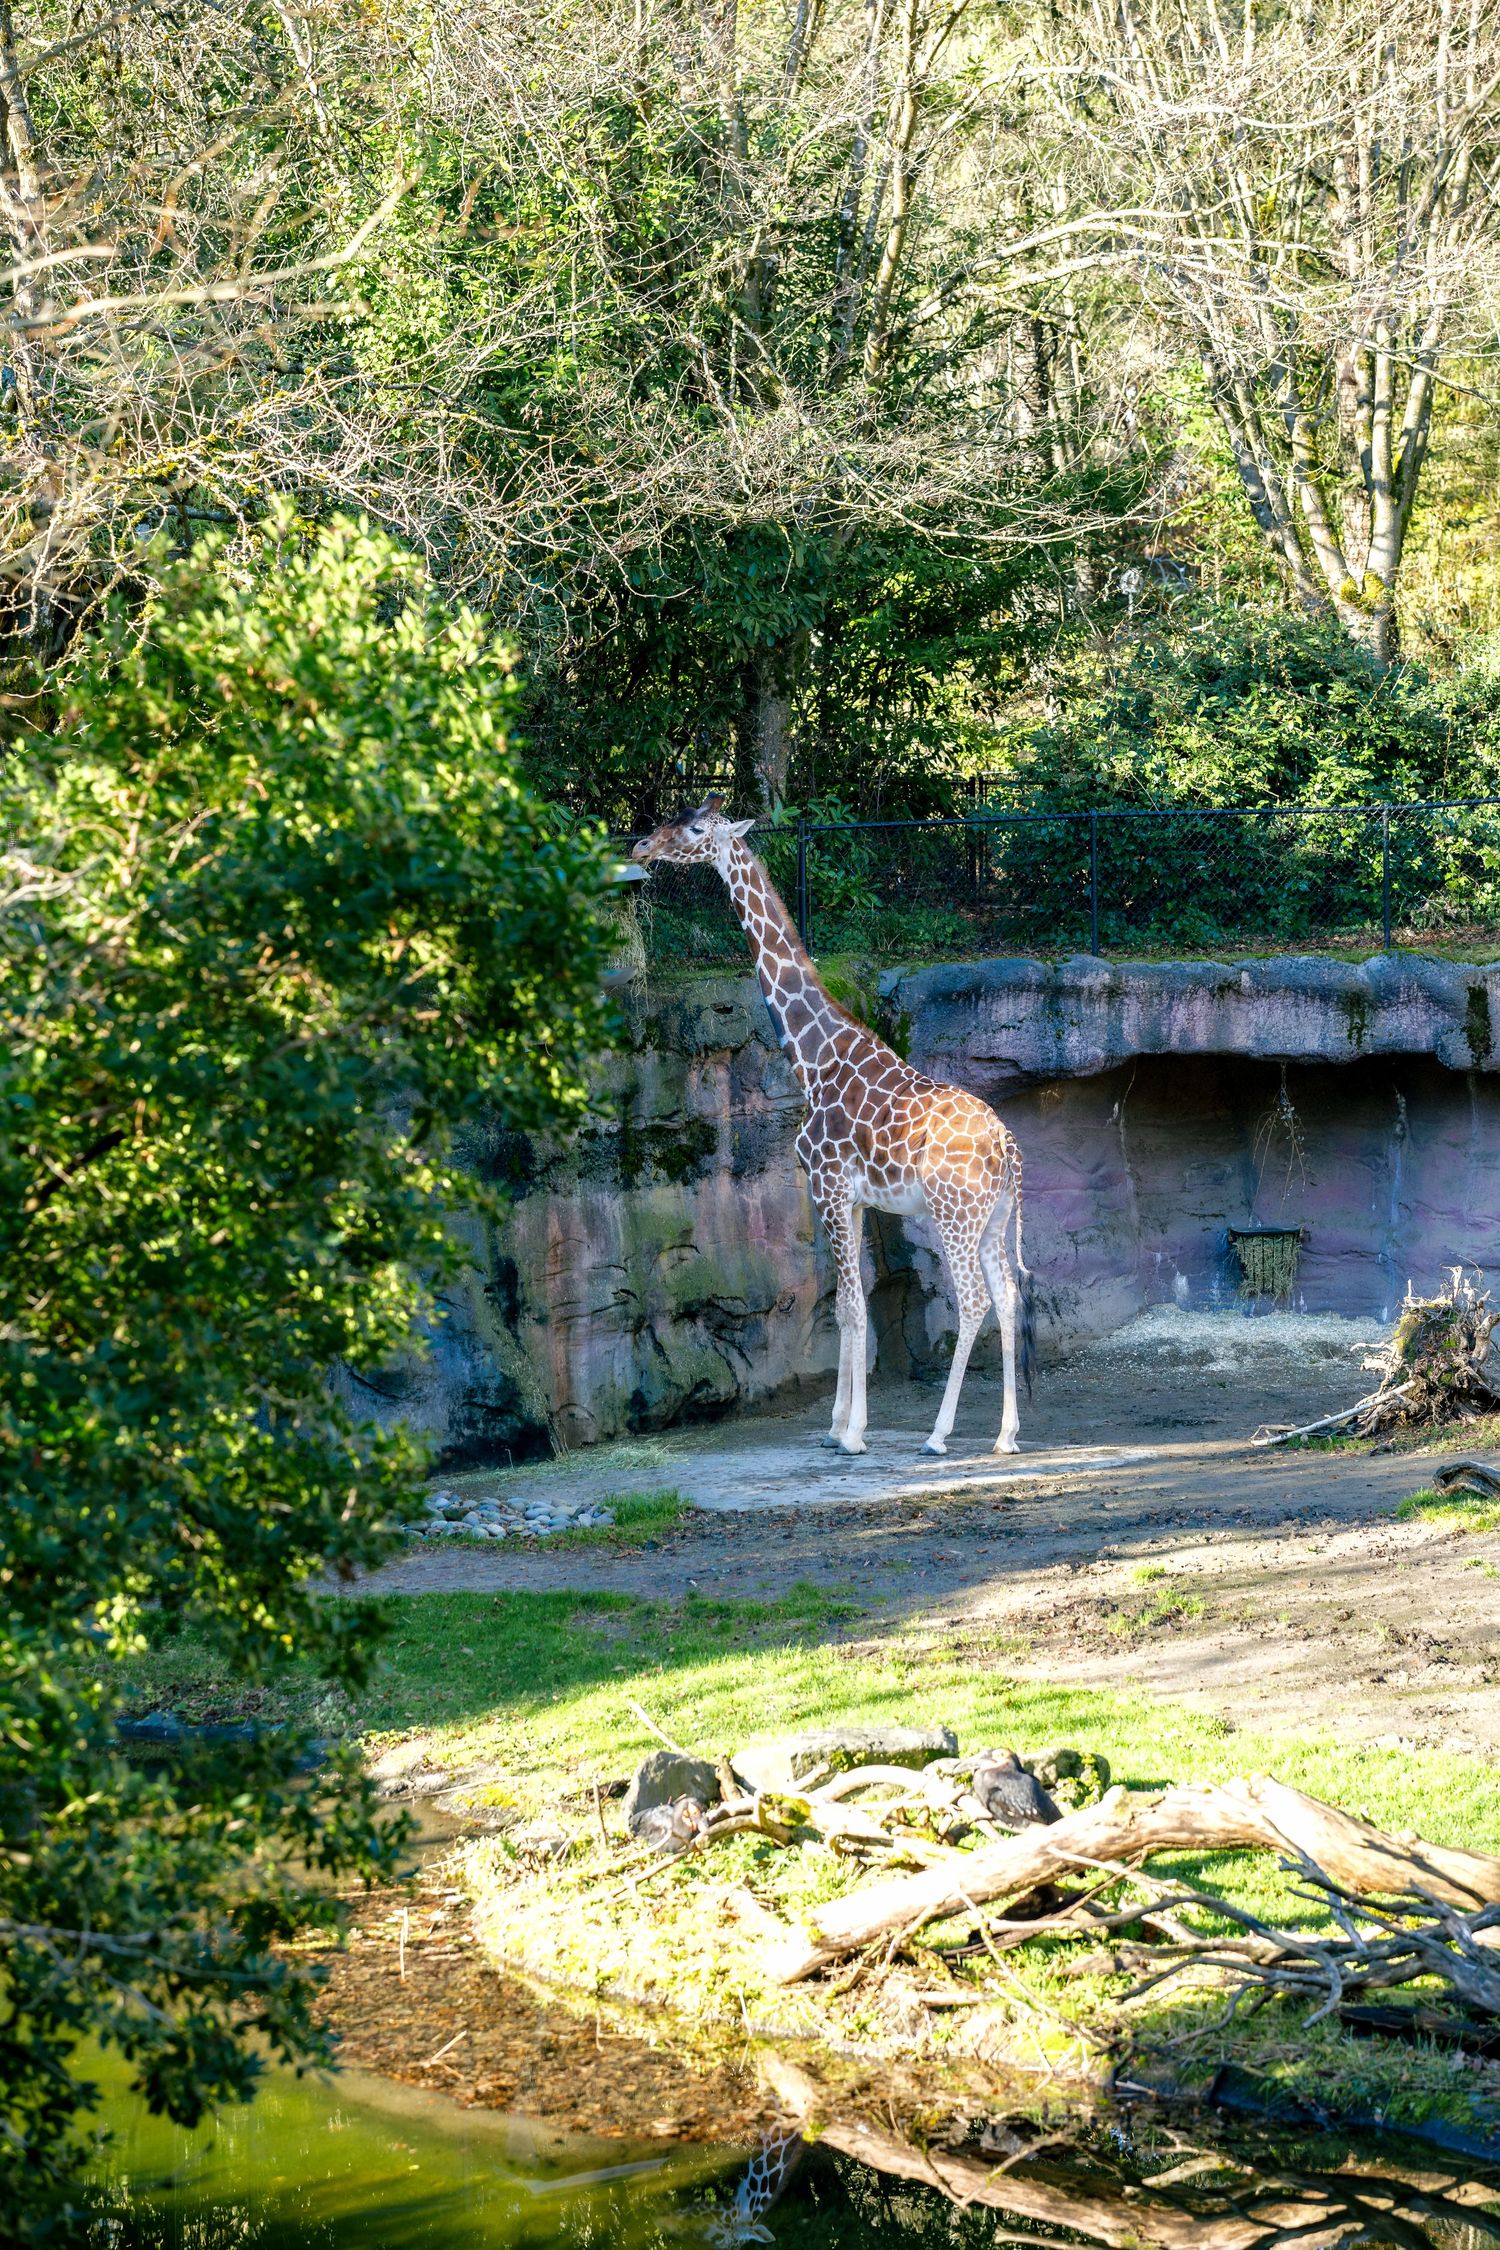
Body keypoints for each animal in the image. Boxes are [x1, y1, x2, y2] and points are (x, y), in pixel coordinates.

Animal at [631, 797, 1032, 1457]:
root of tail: (1007, 1146)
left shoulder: (827, 1186)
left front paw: (852, 1434)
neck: (814, 1060)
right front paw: (838, 1425)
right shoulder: (858, 1199)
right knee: (1007, 1297)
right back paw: (1005, 1436)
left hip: (952, 1214)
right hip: (994, 1218)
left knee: (973, 1301)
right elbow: (850, 1303)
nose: (640, 845)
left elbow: (849, 1307)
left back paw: (938, 1435)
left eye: (695, 827)